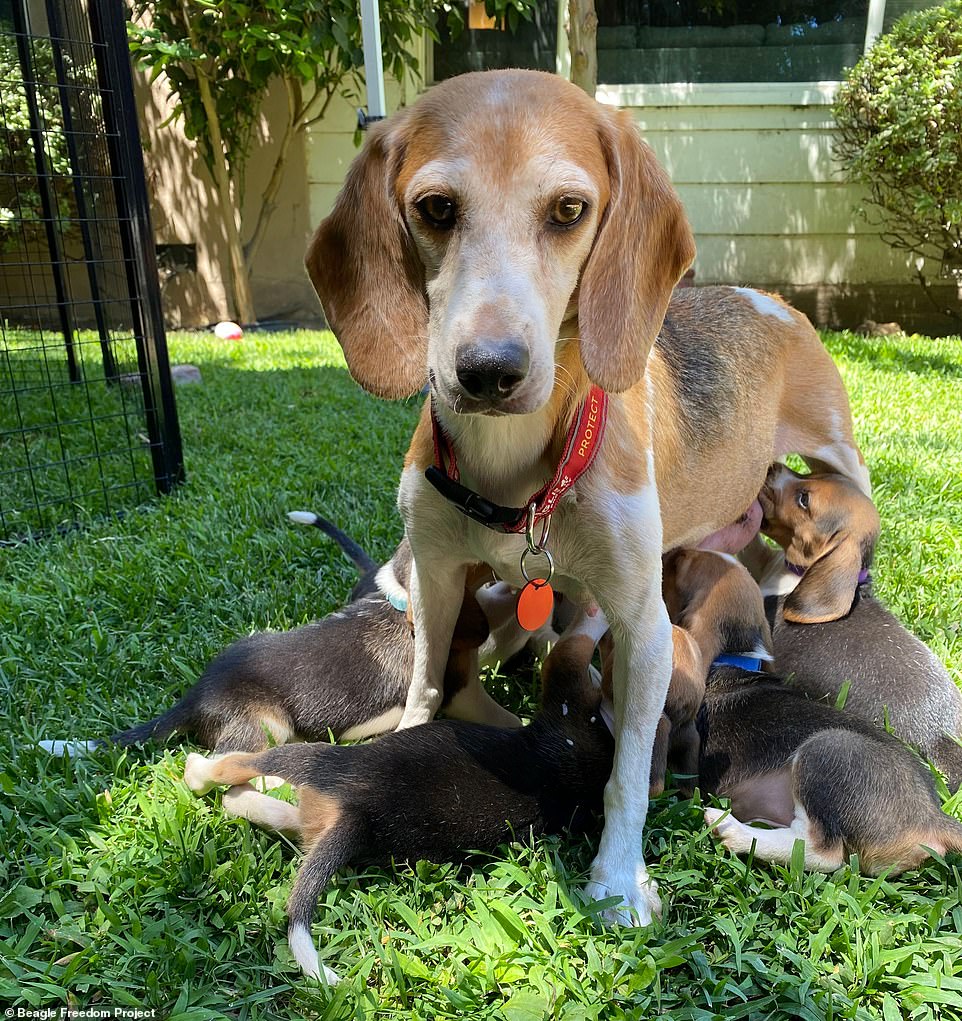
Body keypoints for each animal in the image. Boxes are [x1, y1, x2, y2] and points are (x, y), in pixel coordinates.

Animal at [184, 608, 612, 984]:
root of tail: (357, 813)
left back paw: (199, 772)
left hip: (316, 759)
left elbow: (573, 646)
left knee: (234, 768)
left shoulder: (568, 692)